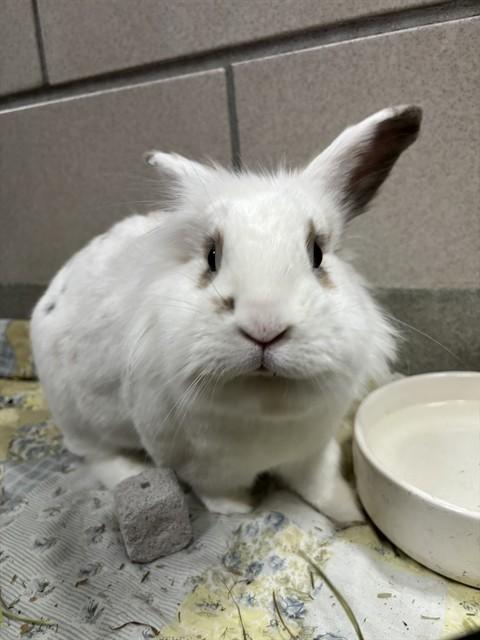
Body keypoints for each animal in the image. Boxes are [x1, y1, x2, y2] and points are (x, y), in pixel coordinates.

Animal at [31, 105, 421, 522]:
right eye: (211, 257)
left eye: (316, 253)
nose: (264, 327)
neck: (265, 405)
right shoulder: (201, 466)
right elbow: (218, 492)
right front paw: (239, 511)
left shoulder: (314, 449)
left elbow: (321, 482)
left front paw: (351, 513)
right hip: (78, 419)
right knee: (97, 456)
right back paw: (131, 472)